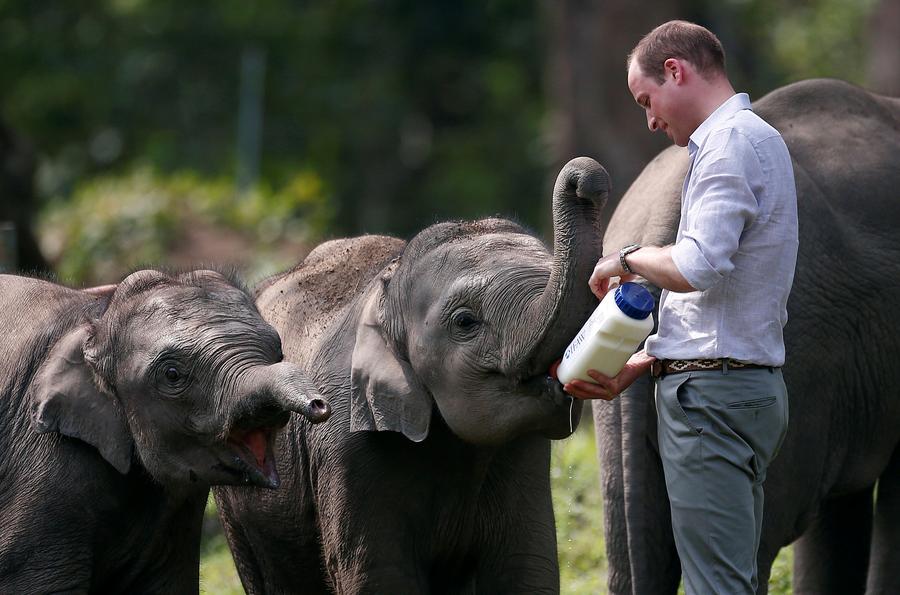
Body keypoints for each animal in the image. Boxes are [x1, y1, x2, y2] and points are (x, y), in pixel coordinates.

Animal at [216, 158, 612, 595]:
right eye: (465, 322)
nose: (586, 179)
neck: (387, 289)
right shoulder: (345, 443)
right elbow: (379, 574)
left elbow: (524, 569)